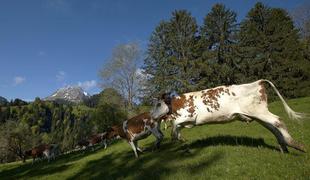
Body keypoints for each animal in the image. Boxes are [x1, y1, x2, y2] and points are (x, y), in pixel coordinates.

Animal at [150, 79, 306, 153]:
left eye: (158, 104)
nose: (151, 116)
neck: (176, 104)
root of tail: (257, 82)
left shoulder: (190, 116)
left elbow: (174, 127)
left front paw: (180, 140)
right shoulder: (184, 121)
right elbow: (176, 130)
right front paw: (182, 141)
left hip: (259, 111)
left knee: (278, 121)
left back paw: (294, 144)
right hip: (258, 114)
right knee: (272, 127)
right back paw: (283, 146)